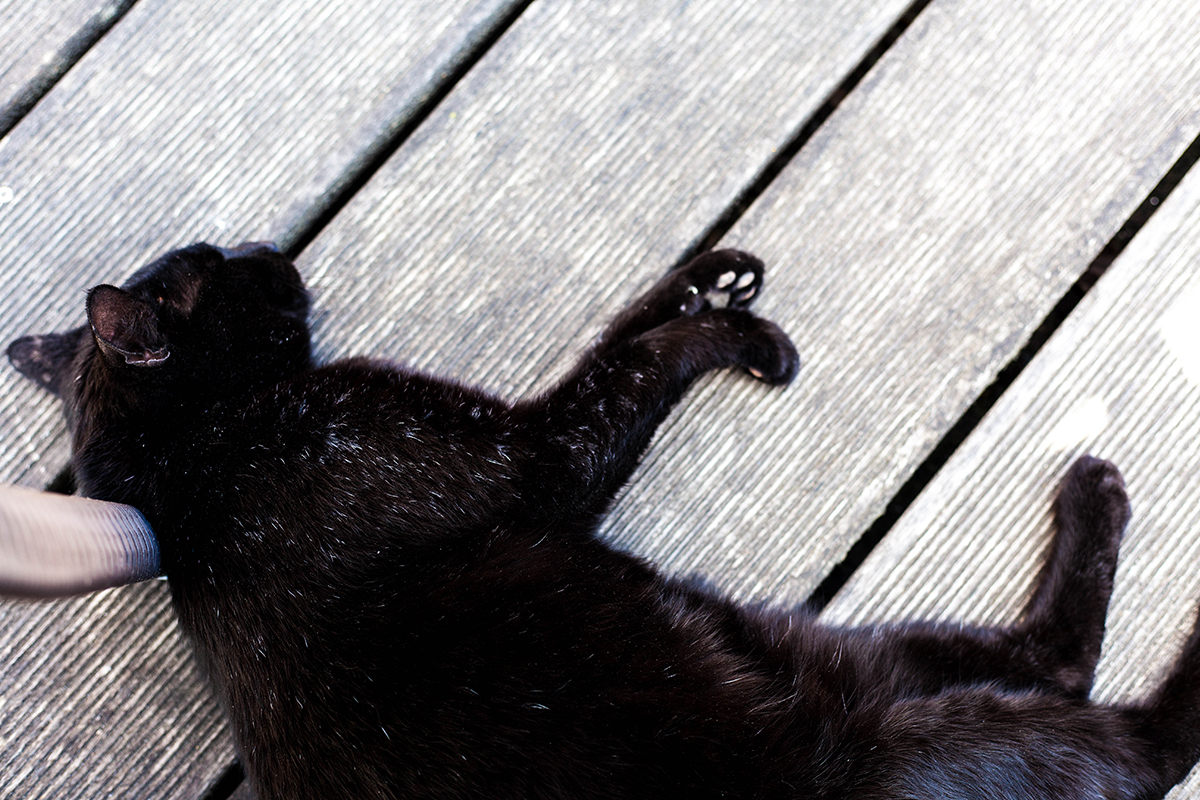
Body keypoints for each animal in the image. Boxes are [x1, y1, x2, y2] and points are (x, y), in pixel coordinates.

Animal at [7, 245, 1200, 800]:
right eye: (220, 266)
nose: (273, 250)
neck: (188, 468)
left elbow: (620, 333)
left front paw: (704, 277)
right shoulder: (534, 455)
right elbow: (627, 368)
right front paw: (728, 332)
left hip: (823, 643)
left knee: (1049, 660)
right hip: (936, 730)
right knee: (1133, 726)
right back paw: (1108, 501)